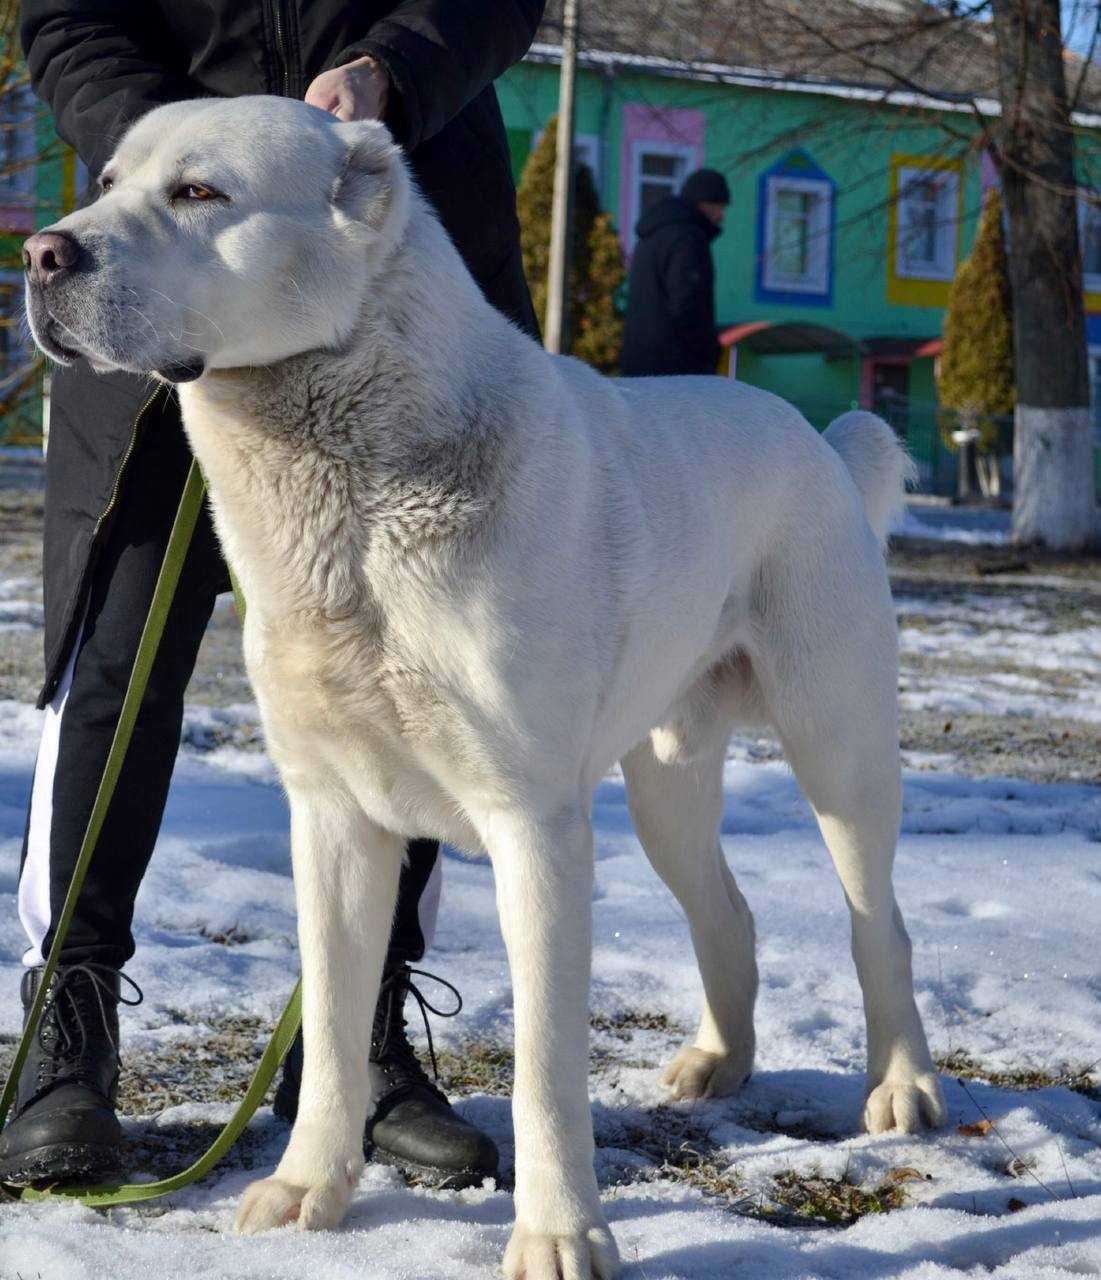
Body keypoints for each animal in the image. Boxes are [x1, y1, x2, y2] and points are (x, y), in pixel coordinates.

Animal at [25, 97, 947, 1280]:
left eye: (197, 193)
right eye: (104, 180)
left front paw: (559, 1234)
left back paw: (900, 1085)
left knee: (880, 925)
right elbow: (336, 1024)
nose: (42, 253)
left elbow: (546, 1069)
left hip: (838, 752)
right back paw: (718, 1062)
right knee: (728, 912)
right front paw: (310, 1189)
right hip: (665, 786)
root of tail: (819, 438)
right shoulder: (333, 815)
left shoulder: (534, 826)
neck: (351, 494)